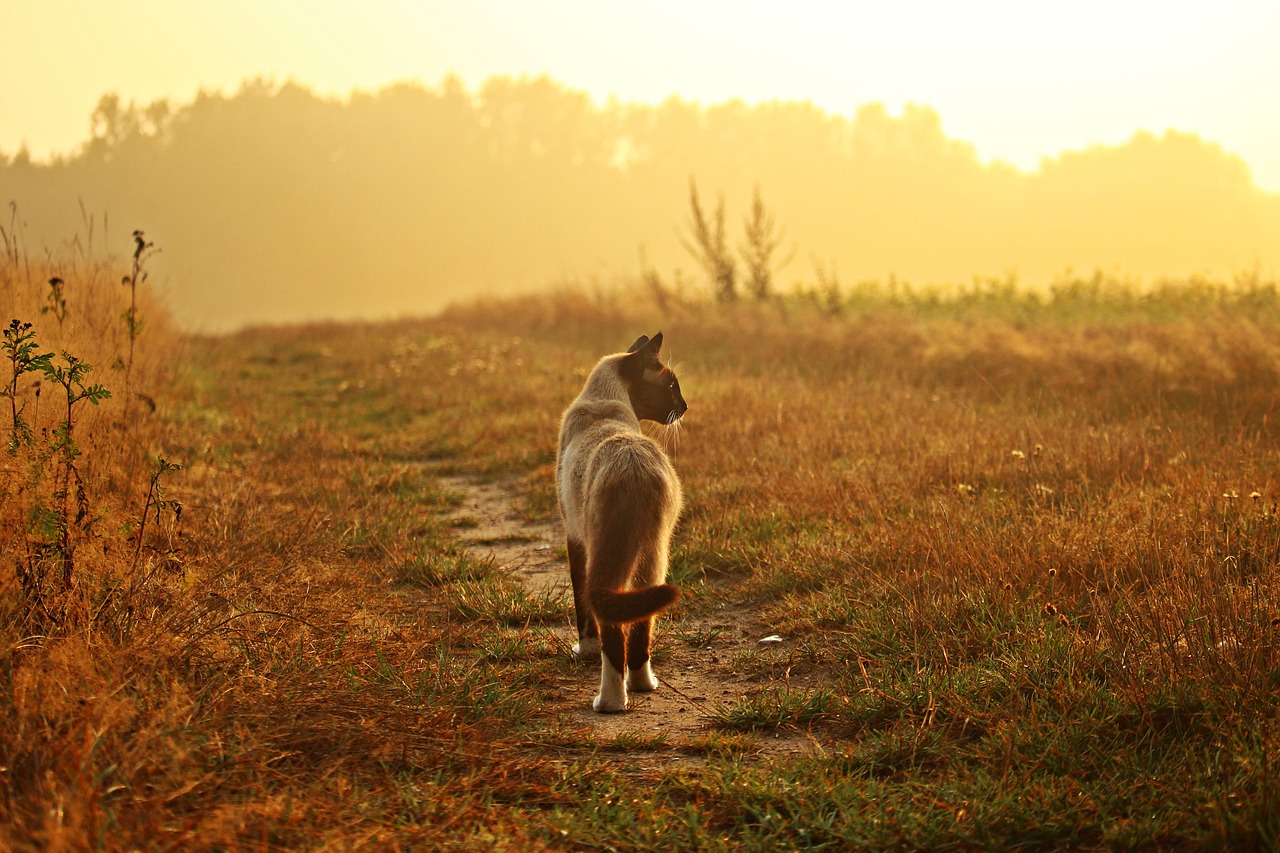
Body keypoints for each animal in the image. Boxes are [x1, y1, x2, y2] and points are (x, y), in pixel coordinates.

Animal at [555, 333, 686, 712]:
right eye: (672, 387)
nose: (685, 406)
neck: (606, 400)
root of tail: (634, 465)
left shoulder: (574, 538)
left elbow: (582, 610)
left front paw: (583, 650)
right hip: (655, 556)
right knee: (641, 626)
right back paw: (643, 685)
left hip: (603, 553)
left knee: (609, 625)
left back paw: (608, 702)